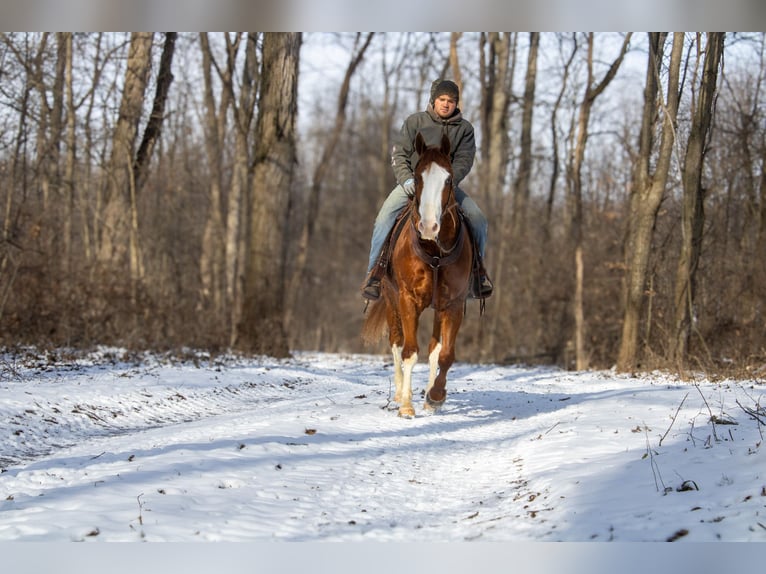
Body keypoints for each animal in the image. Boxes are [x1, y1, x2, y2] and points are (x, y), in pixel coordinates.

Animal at [364, 132, 474, 418]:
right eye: (417, 177)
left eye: (448, 179)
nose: (428, 226)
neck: (434, 250)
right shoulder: (407, 299)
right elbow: (410, 352)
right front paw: (406, 405)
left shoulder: (453, 304)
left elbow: (445, 354)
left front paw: (435, 396)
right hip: (391, 299)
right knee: (396, 342)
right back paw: (401, 392)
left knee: (434, 349)